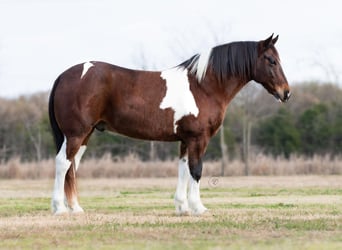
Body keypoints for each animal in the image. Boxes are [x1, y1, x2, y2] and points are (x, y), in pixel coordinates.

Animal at [49, 34, 292, 215]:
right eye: (271, 60)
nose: (286, 93)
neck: (203, 86)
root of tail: (63, 75)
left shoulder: (185, 140)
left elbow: (183, 169)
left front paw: (182, 207)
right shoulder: (198, 139)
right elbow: (196, 170)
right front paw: (199, 208)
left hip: (85, 135)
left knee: (72, 167)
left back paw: (75, 208)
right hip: (76, 134)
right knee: (62, 163)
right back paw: (60, 208)